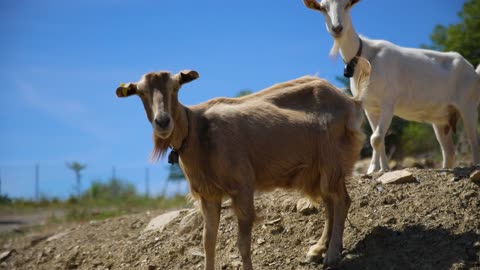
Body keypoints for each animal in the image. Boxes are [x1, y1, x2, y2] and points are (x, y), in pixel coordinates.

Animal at [117, 66, 372, 268]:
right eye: (140, 92)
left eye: (175, 86)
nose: (162, 122)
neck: (198, 131)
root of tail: (351, 102)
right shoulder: (209, 195)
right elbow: (208, 241)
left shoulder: (242, 187)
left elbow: (242, 243)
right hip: (317, 170)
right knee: (331, 202)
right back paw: (318, 250)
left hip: (332, 160)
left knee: (341, 200)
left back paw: (331, 255)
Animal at [304, 0, 480, 173]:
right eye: (322, 8)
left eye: (347, 5)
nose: (337, 28)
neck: (365, 57)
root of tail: (473, 71)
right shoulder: (369, 107)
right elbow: (378, 138)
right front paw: (378, 168)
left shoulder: (388, 102)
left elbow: (375, 138)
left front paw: (378, 169)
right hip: (440, 117)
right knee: (449, 150)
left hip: (468, 104)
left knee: (473, 138)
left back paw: (475, 165)